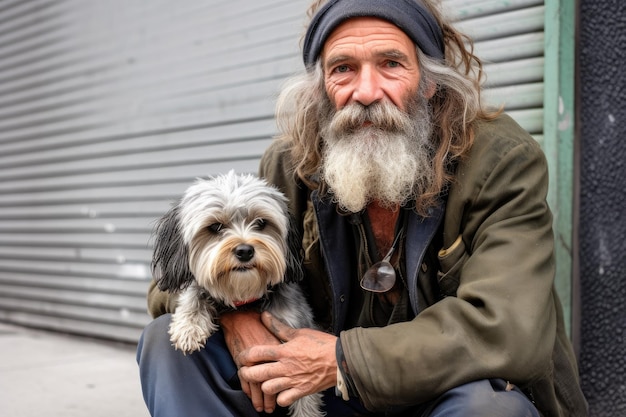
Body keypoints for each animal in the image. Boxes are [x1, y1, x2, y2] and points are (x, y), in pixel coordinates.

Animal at [151, 171, 322, 414]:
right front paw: (189, 327)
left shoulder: (294, 347)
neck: (246, 296)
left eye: (261, 223)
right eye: (215, 227)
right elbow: (195, 290)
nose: (245, 250)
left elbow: (305, 401)